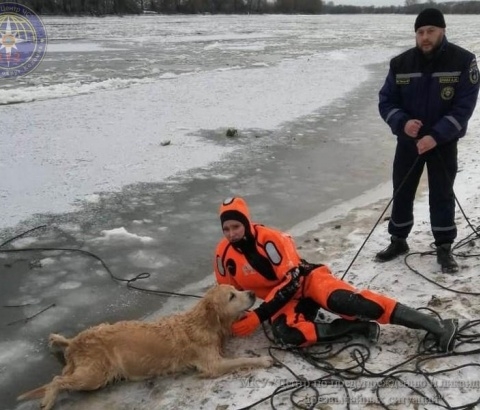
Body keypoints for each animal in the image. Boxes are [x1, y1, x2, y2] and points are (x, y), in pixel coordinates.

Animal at [17, 286, 274, 410]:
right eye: (232, 296)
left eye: (237, 290)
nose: (252, 293)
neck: (204, 322)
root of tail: (76, 344)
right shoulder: (212, 364)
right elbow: (242, 360)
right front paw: (263, 360)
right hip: (95, 375)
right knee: (56, 380)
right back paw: (48, 399)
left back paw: (58, 339)